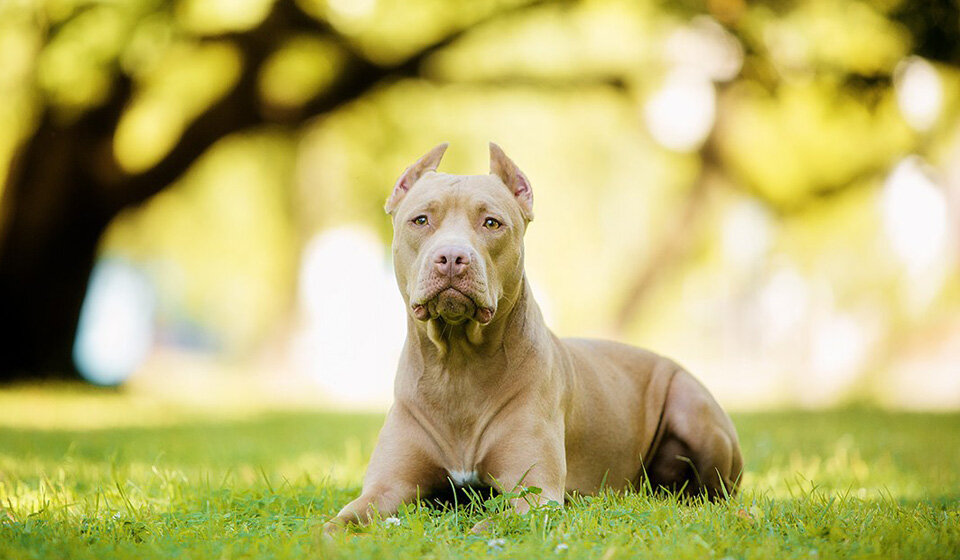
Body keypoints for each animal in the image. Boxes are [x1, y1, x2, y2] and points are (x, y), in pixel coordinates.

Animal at [322, 142, 744, 532]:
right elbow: (334, 524)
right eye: (421, 219)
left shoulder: (535, 497)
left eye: (492, 223)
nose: (453, 258)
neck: (457, 364)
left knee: (714, 493)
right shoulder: (386, 487)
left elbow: (490, 524)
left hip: (691, 407)